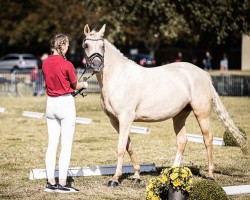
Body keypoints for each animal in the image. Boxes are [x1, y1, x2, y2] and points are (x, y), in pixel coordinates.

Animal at [82, 24, 248, 187]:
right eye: (86, 45)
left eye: (102, 46)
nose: (97, 65)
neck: (118, 78)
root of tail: (204, 74)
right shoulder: (116, 121)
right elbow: (129, 146)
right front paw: (136, 175)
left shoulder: (125, 118)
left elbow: (121, 148)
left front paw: (115, 179)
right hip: (180, 115)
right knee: (182, 141)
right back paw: (172, 174)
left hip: (201, 113)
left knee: (208, 139)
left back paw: (210, 175)